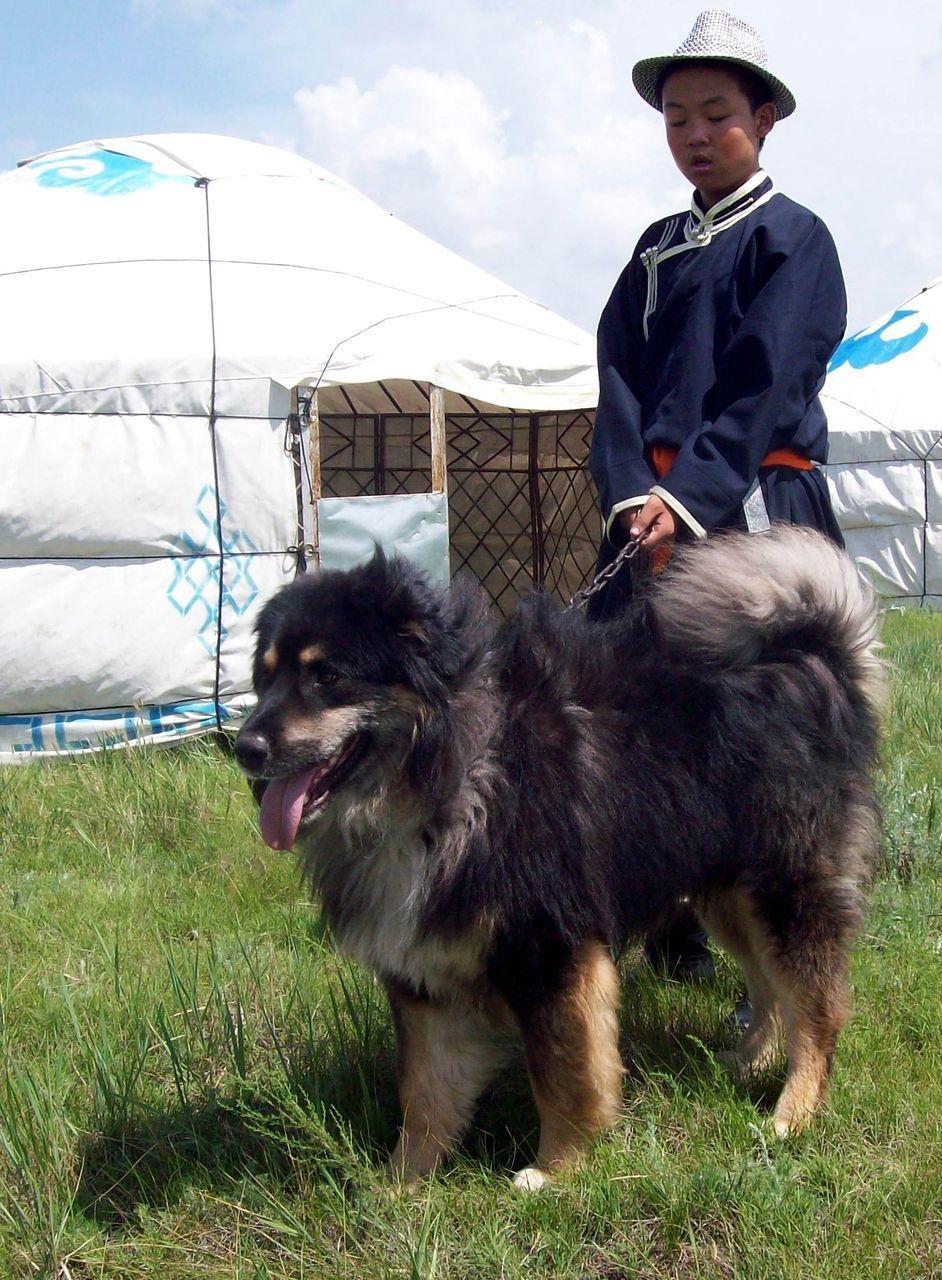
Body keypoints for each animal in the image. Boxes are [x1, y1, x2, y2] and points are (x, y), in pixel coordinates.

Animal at [234, 527, 882, 1190]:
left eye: (328, 675)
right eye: (265, 678)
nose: (246, 747)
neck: (452, 774)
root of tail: (812, 660)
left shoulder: (548, 948)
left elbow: (564, 1074)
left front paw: (555, 1170)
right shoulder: (423, 967)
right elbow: (426, 1089)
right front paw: (402, 1184)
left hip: (784, 886)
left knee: (818, 1007)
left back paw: (792, 1112)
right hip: (729, 892)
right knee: (771, 987)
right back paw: (749, 1063)